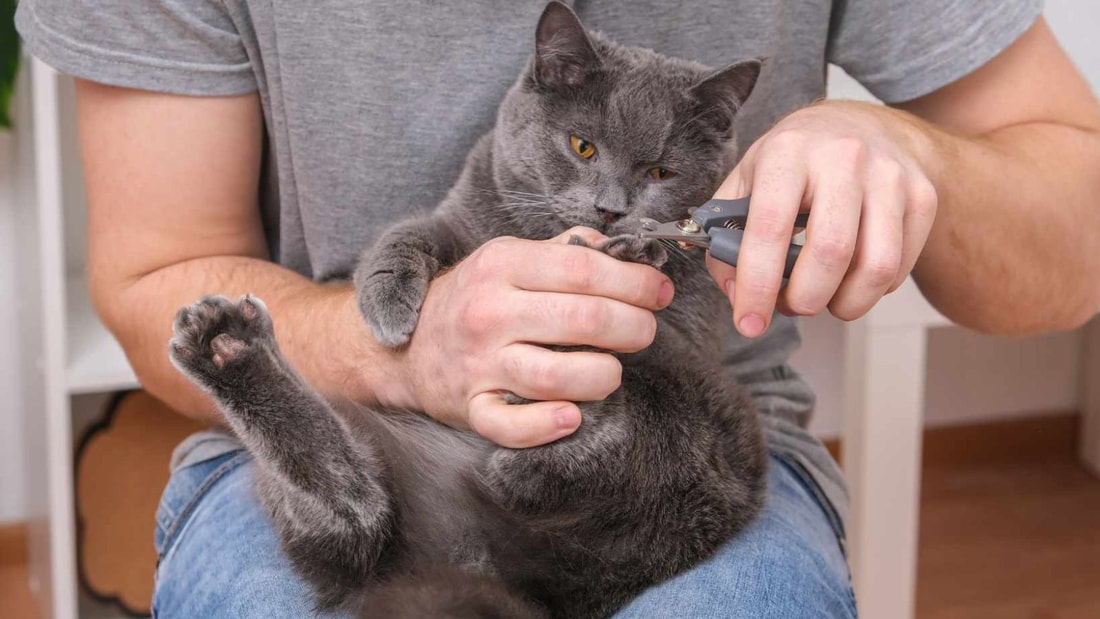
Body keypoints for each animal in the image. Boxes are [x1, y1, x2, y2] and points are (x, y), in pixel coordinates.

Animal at [169, 2, 765, 615]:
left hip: (714, 427)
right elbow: (408, 233)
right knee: (355, 513)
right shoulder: (460, 220)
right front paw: (389, 304)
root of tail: (494, 570)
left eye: (661, 173)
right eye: (582, 147)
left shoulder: (686, 331)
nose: (611, 211)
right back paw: (226, 346)